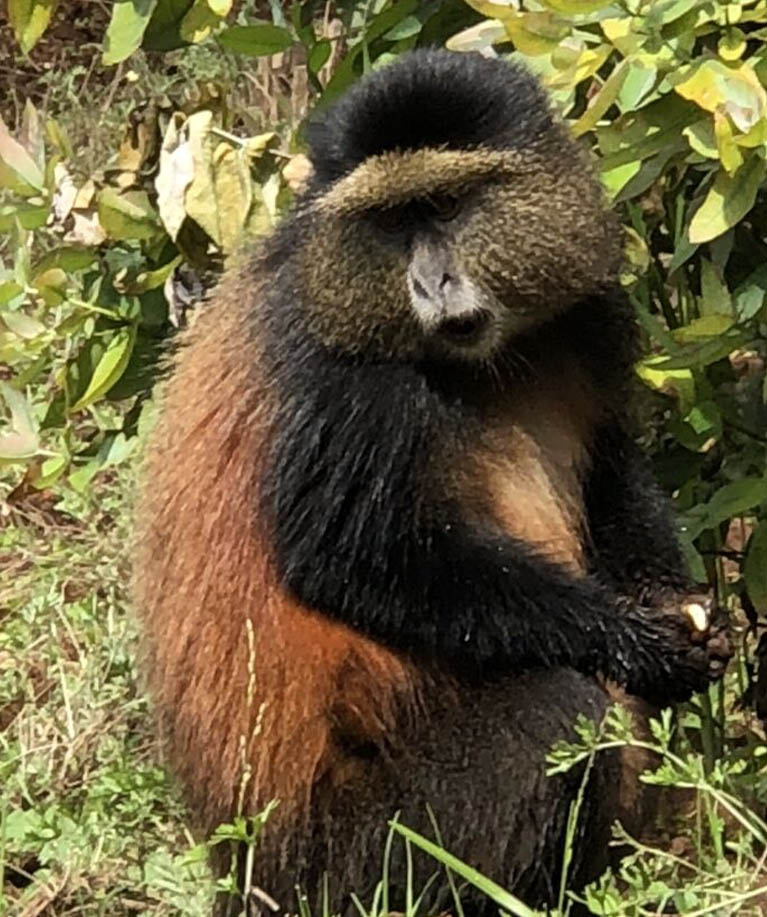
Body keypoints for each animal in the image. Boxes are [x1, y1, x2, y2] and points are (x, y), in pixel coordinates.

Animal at [134, 50, 730, 917]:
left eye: (445, 206)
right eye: (391, 223)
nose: (431, 282)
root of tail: (250, 873)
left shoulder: (588, 304)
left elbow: (611, 467)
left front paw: (689, 618)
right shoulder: (343, 376)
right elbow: (352, 559)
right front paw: (638, 640)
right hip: (362, 864)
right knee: (559, 707)